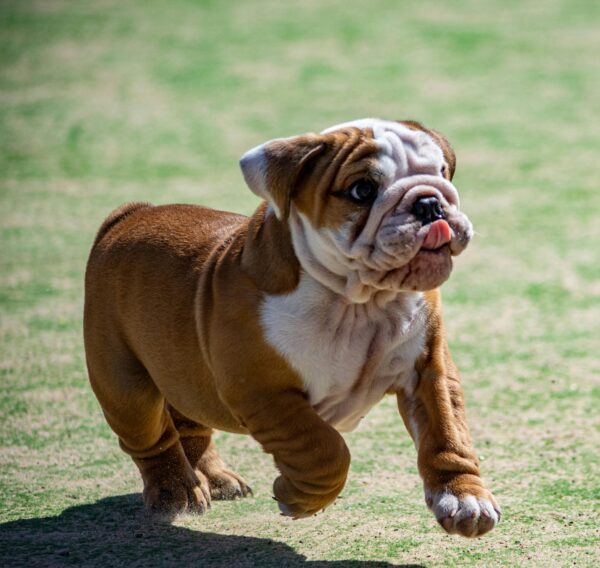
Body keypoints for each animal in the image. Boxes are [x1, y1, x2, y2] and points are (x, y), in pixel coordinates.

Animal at [82, 116, 500, 536]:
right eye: (362, 190)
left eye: (441, 171)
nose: (429, 201)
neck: (359, 301)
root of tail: (130, 215)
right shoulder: (263, 392)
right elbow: (323, 449)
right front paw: (298, 497)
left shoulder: (429, 371)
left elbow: (447, 433)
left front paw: (463, 498)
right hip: (125, 385)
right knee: (153, 438)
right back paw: (177, 492)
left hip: (182, 373)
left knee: (191, 422)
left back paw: (215, 479)